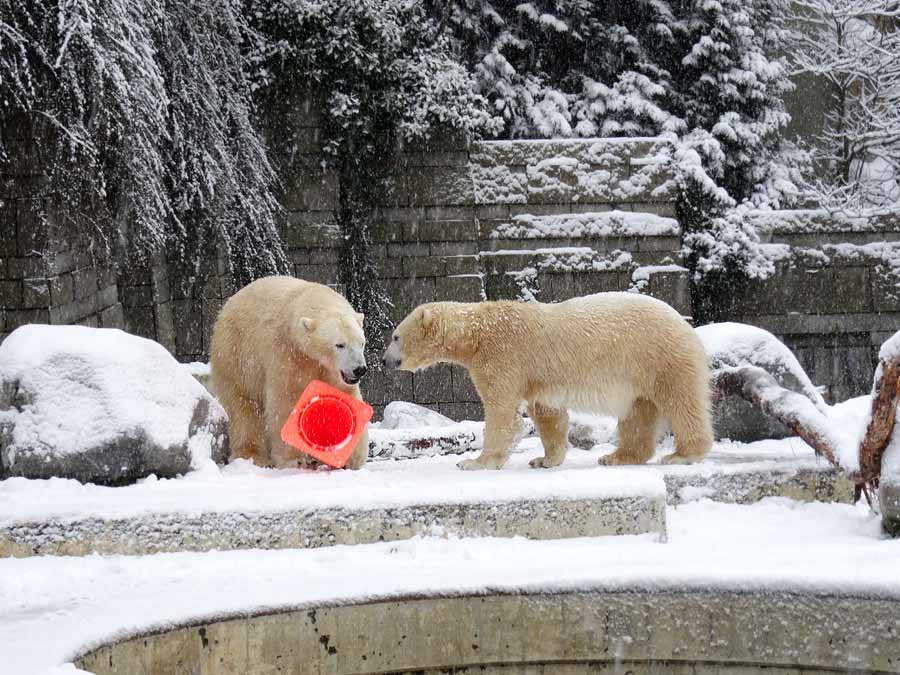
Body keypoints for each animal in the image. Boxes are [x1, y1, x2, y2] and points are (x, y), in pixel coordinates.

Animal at [208, 276, 370, 470]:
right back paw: (252, 455)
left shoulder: (331, 371)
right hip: (237, 356)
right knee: (244, 406)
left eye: (362, 342)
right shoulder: (287, 354)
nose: (359, 369)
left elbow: (342, 399)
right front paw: (295, 459)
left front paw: (351, 458)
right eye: (340, 345)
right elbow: (287, 401)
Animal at [384, 294, 712, 472]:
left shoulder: (503, 356)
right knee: (637, 413)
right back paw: (617, 457)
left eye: (395, 336)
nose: (385, 360)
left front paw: (476, 462)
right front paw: (545, 460)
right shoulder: (538, 378)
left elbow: (501, 410)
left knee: (682, 402)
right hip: (640, 374)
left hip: (660, 356)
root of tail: (685, 324)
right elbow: (548, 413)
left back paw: (682, 455)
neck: (477, 332)